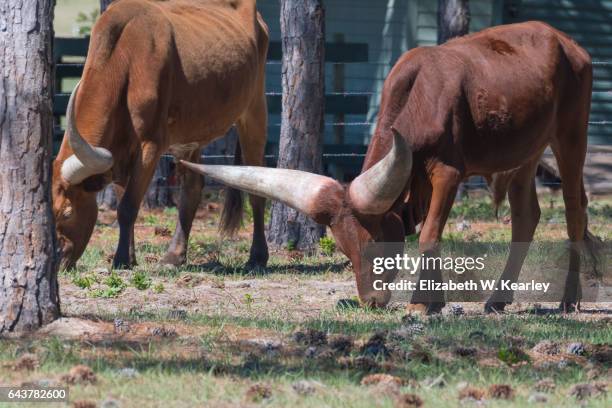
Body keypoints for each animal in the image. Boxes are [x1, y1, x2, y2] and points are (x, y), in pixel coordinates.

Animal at [53, 0, 270, 270]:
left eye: (68, 212)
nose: (57, 259)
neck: (124, 59)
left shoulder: (151, 145)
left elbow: (128, 207)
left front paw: (121, 259)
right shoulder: (122, 154)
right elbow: (125, 201)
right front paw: (130, 257)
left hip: (254, 111)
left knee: (256, 188)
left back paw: (257, 257)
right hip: (192, 135)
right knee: (192, 190)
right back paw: (174, 256)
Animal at [184, 22, 596, 314]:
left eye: (375, 247)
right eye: (346, 250)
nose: (371, 300)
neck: (421, 97)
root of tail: (568, 42)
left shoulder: (448, 172)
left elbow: (429, 234)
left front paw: (421, 303)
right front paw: (433, 301)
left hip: (570, 135)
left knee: (575, 210)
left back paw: (569, 300)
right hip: (524, 152)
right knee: (526, 216)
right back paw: (498, 300)